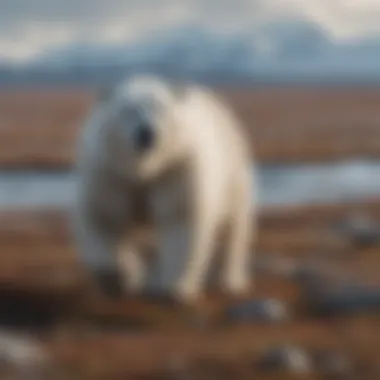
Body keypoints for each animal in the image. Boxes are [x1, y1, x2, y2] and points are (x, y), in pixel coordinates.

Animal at [71, 74, 255, 304]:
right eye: (129, 111)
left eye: (161, 110)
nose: (146, 133)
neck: (145, 170)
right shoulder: (111, 174)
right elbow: (105, 219)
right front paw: (119, 278)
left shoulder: (176, 168)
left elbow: (180, 220)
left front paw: (174, 288)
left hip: (232, 172)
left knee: (234, 227)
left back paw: (229, 281)